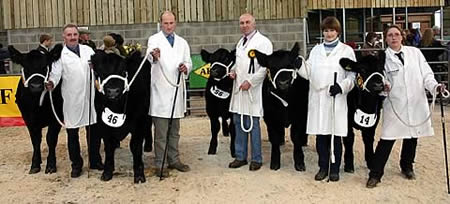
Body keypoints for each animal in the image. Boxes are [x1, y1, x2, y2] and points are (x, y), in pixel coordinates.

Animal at [7, 44, 63, 174]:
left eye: (45, 66)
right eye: (25, 67)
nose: (36, 86)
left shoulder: (56, 118)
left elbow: (51, 139)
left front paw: (51, 165)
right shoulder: (28, 119)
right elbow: (35, 140)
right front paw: (35, 164)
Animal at [91, 49, 151, 183]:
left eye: (123, 72)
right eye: (101, 73)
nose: (113, 91)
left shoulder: (139, 121)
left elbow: (135, 146)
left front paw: (139, 174)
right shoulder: (103, 124)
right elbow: (109, 146)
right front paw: (107, 172)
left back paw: (148, 147)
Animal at [253, 42, 310, 171]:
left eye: (290, 65)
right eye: (272, 68)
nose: (283, 82)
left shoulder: (300, 116)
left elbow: (296, 137)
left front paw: (299, 162)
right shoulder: (270, 118)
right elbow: (274, 137)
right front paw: (275, 162)